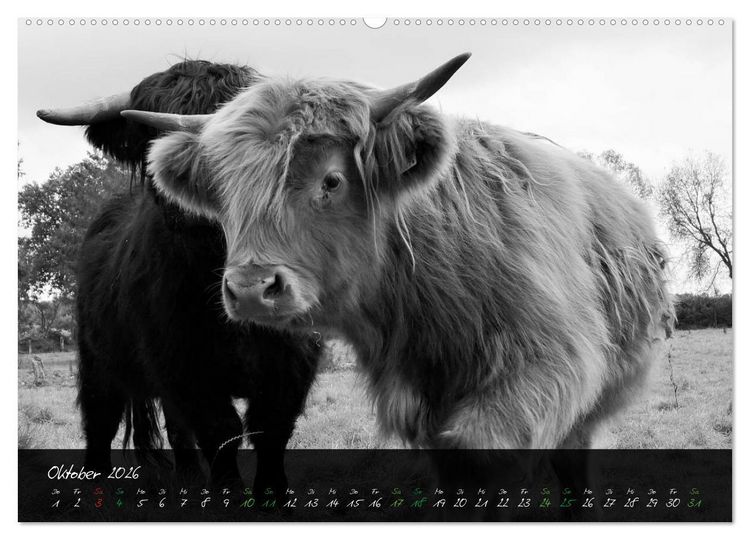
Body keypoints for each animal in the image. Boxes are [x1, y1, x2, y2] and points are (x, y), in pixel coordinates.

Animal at [36, 60, 321, 492]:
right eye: (150, 138)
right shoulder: (183, 364)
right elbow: (220, 431)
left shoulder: (290, 364)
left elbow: (270, 431)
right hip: (97, 358)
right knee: (100, 421)